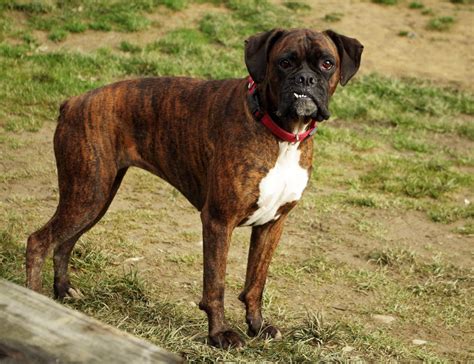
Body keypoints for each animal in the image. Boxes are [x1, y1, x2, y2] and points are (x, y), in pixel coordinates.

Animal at [25, 27, 362, 346]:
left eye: (327, 64)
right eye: (285, 62)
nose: (305, 79)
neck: (280, 133)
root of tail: (73, 102)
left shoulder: (272, 224)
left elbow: (256, 281)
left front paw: (257, 326)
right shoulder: (218, 221)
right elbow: (216, 284)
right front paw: (219, 335)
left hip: (95, 198)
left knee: (64, 243)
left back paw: (64, 291)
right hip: (86, 194)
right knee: (40, 241)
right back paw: (36, 302)